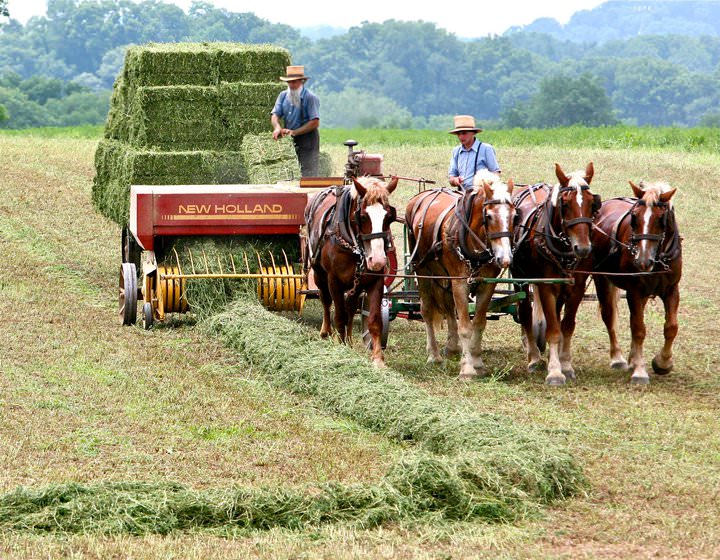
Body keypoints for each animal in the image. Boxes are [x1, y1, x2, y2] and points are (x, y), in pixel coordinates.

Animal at [300, 176, 396, 368]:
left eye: (389, 217)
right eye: (363, 216)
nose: (378, 260)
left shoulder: (375, 281)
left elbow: (374, 320)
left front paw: (377, 359)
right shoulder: (334, 281)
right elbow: (339, 315)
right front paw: (340, 346)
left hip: (356, 284)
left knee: (351, 306)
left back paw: (350, 340)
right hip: (319, 274)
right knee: (325, 300)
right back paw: (326, 332)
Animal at [404, 170, 516, 380]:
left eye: (514, 215)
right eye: (488, 216)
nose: (505, 258)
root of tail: (418, 198)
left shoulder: (486, 284)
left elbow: (478, 322)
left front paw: (477, 362)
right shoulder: (460, 282)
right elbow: (465, 326)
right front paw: (467, 369)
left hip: (444, 276)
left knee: (448, 307)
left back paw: (452, 347)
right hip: (422, 271)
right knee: (427, 310)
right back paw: (434, 355)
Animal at [512, 162, 600, 384]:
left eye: (592, 203)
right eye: (565, 204)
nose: (582, 248)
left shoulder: (576, 288)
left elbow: (566, 326)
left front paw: (566, 364)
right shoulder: (546, 286)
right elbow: (553, 329)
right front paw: (554, 371)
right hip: (519, 276)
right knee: (525, 313)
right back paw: (534, 357)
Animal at [584, 182, 680, 382]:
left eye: (661, 219)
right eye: (634, 217)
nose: (642, 260)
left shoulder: (672, 289)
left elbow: (671, 327)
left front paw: (663, 363)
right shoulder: (634, 291)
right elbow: (638, 328)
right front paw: (640, 370)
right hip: (602, 279)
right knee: (609, 316)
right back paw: (618, 358)